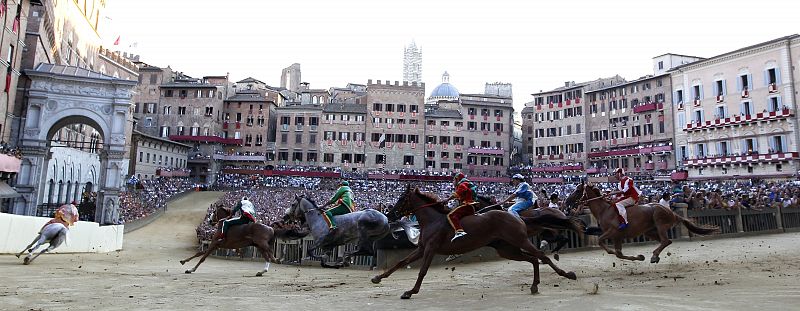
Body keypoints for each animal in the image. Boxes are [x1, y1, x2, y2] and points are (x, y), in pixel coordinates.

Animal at [370, 186, 576, 298]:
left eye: (402, 198)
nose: (390, 214)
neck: (432, 220)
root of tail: (515, 216)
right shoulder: (421, 248)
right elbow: (400, 262)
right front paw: (378, 277)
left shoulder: (431, 248)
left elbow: (422, 271)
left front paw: (411, 291)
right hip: (506, 249)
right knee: (533, 259)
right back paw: (534, 285)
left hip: (520, 240)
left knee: (541, 256)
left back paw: (567, 274)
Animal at [564, 183, 720, 264]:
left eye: (577, 190)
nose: (566, 201)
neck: (604, 210)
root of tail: (672, 212)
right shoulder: (617, 236)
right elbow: (619, 254)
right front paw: (639, 257)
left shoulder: (613, 232)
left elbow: (602, 242)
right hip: (649, 231)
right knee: (665, 241)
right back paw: (655, 255)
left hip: (660, 223)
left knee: (666, 240)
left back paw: (654, 255)